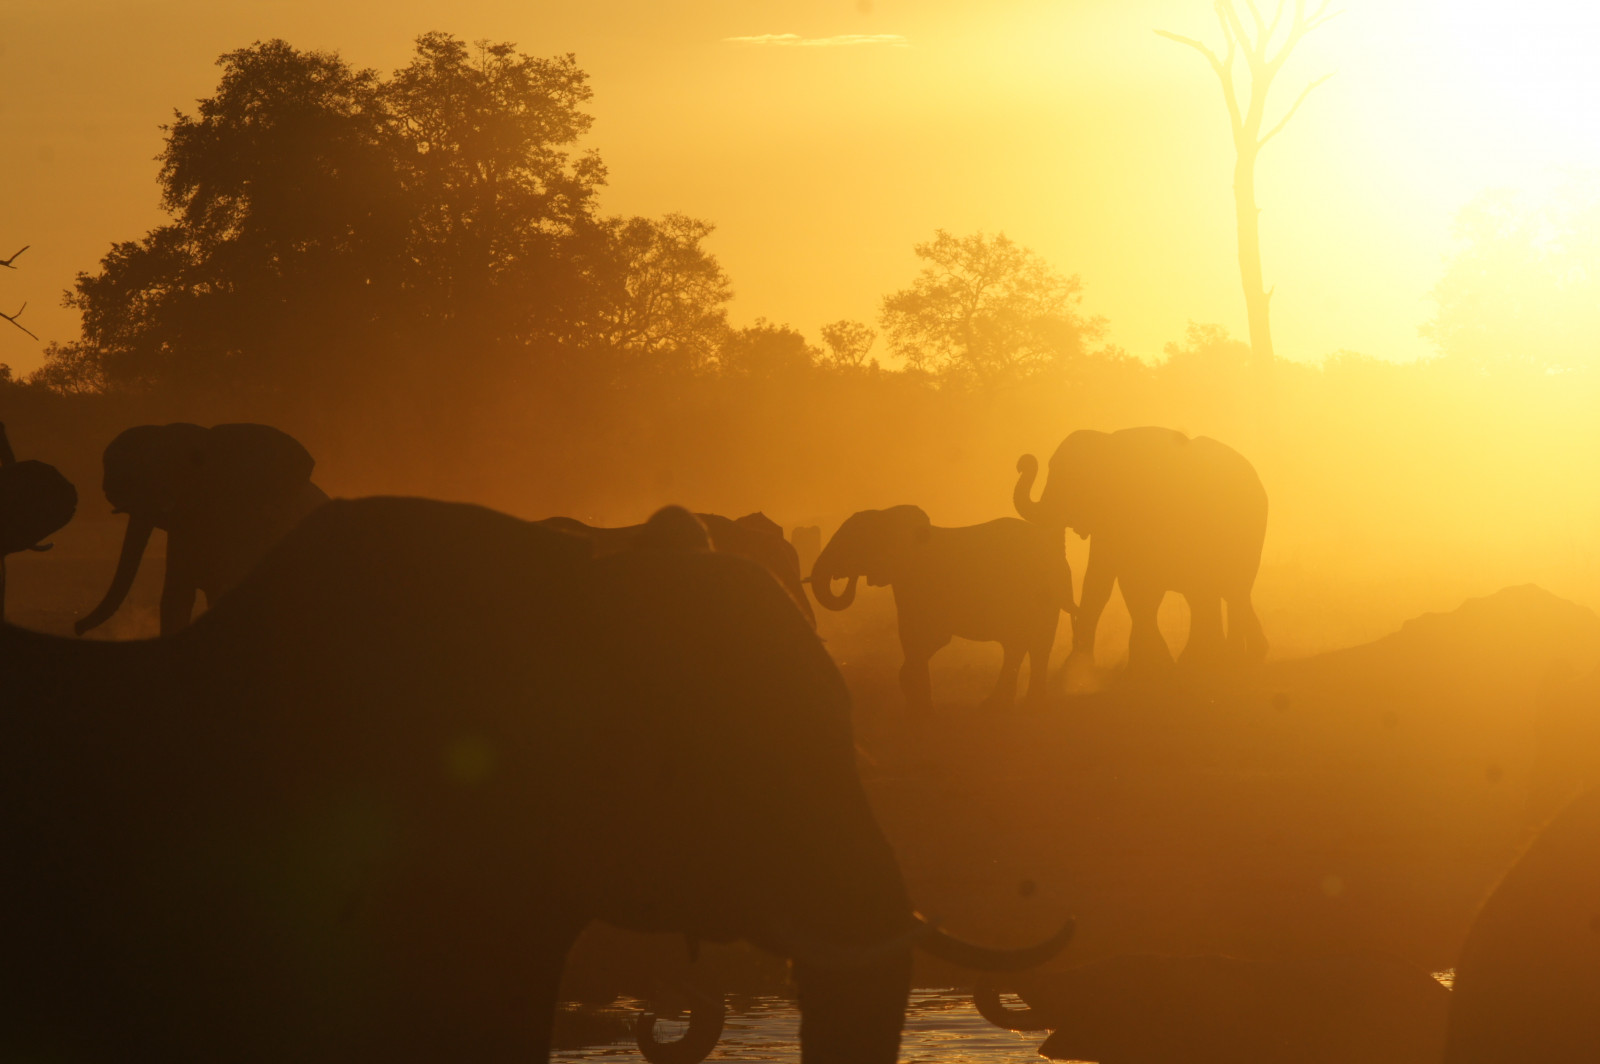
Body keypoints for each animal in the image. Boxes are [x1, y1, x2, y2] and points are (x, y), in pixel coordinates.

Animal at [809, 506, 1074, 712]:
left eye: (852, 543)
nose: (847, 577)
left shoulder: (922, 584)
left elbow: (924, 636)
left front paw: (919, 706)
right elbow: (919, 638)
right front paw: (918, 704)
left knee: (1026, 644)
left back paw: (1005, 706)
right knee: (1029, 646)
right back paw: (1017, 706)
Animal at [1014, 426, 1268, 671]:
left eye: (1067, 478)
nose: (1023, 462)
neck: (1106, 443)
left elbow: (1138, 583)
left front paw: (1150, 662)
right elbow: (1100, 580)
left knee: (1227, 592)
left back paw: (1224, 659)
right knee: (1220, 594)